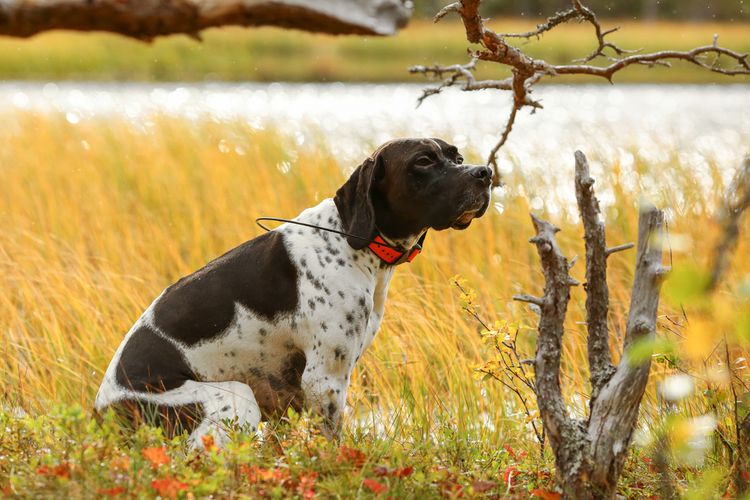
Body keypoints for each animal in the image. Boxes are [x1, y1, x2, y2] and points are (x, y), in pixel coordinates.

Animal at [94, 138, 494, 450]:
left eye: (457, 156)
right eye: (423, 161)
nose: (485, 173)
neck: (352, 239)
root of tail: (102, 414)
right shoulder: (324, 380)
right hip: (235, 399)